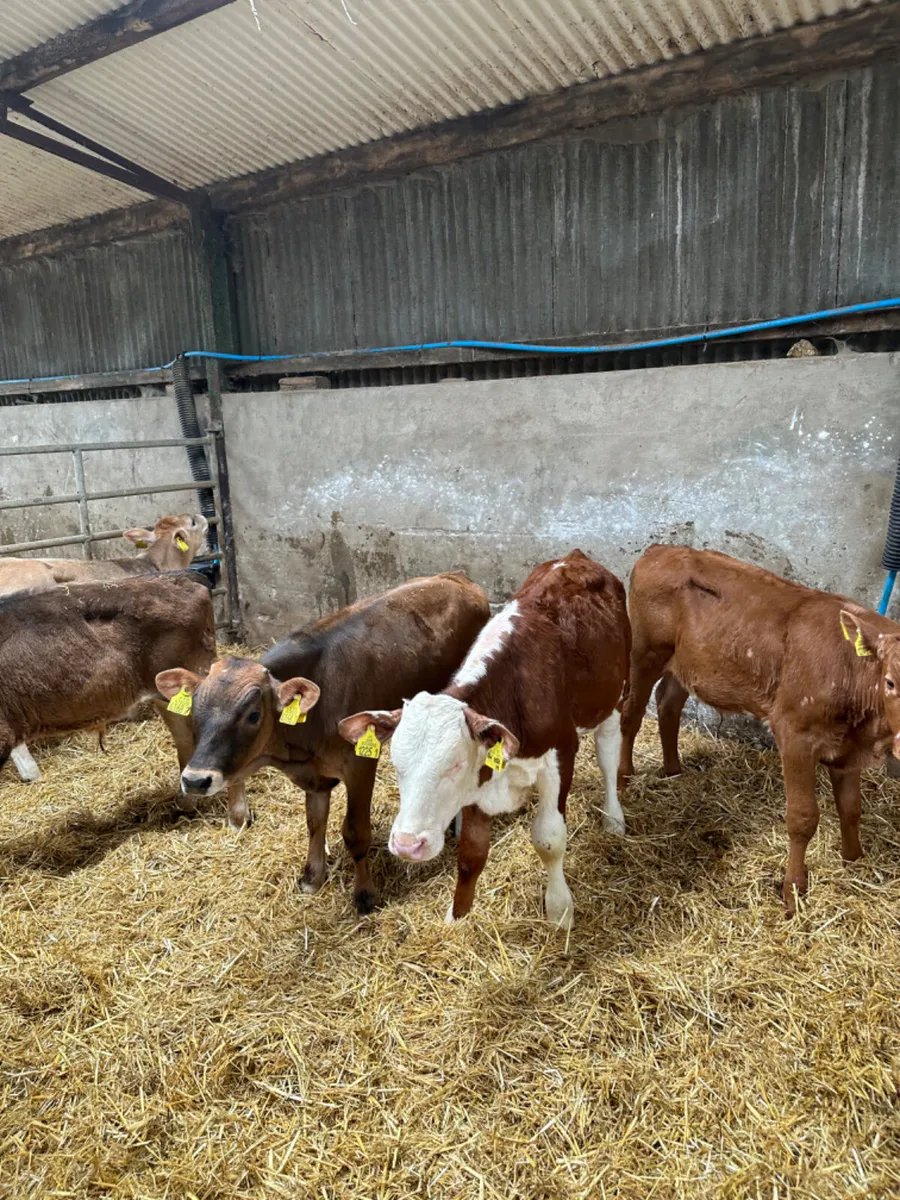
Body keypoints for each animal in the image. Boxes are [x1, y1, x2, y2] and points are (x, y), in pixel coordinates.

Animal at [153, 572, 490, 916]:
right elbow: (315, 822)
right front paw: (312, 878)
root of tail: (456, 577)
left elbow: (355, 833)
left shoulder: (360, 765)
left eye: (253, 714)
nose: (195, 780)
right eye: (195, 708)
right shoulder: (314, 775)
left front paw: (365, 895)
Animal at [338, 550, 631, 930]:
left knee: (608, 754)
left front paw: (559, 912)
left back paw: (614, 818)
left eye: (455, 765)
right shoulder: (481, 775)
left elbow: (550, 839)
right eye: (397, 765)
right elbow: (471, 853)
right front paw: (456, 916)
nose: (407, 844)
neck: (513, 691)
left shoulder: (560, 753)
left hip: (613, 696)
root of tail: (574, 557)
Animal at [618, 543, 900, 913]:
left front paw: (854, 861)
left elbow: (851, 809)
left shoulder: (848, 750)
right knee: (630, 713)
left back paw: (673, 769)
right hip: (644, 650)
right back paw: (623, 779)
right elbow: (802, 818)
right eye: (890, 682)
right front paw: (793, 892)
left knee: (668, 703)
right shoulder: (795, 734)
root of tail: (661, 549)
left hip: (687, 662)